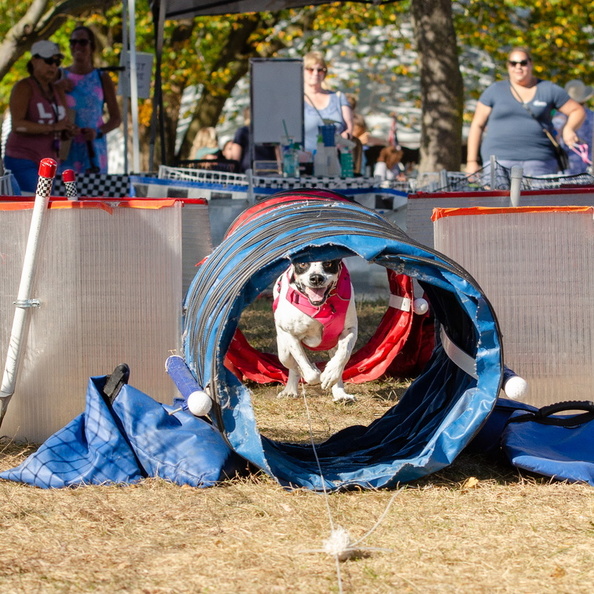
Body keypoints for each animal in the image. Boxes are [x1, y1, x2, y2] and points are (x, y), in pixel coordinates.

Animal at [272, 258, 356, 400]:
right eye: (302, 263)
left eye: (328, 263)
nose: (316, 278)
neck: (320, 307)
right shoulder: (290, 334)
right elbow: (307, 370)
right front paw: (315, 371)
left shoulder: (350, 330)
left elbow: (344, 353)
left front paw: (330, 374)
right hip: (283, 351)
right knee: (293, 367)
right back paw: (290, 390)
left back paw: (340, 394)